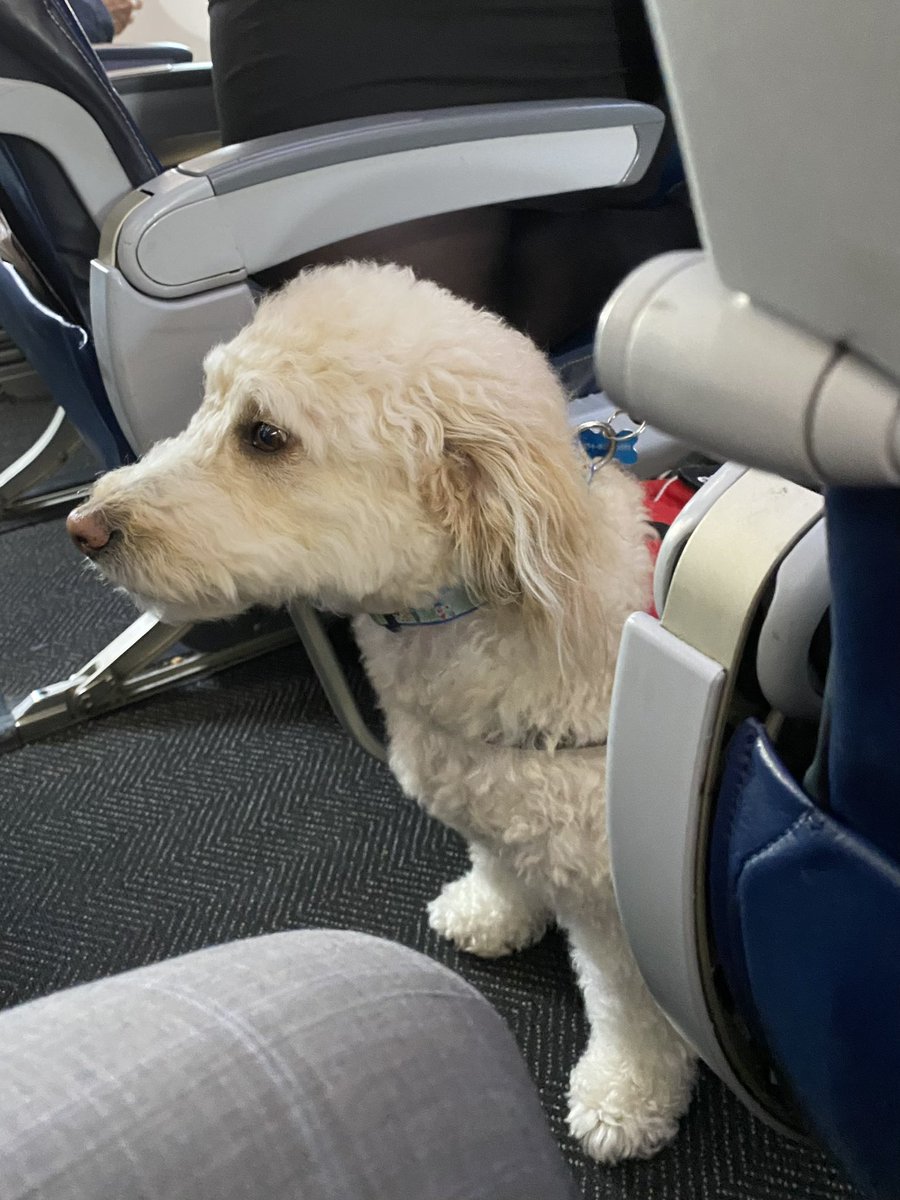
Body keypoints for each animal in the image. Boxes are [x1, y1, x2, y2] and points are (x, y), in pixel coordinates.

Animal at [74, 262, 700, 1161]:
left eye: (265, 435)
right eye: (207, 403)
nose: (81, 525)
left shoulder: (619, 900)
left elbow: (629, 1007)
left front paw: (627, 1094)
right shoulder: (478, 790)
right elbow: (497, 858)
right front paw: (492, 911)